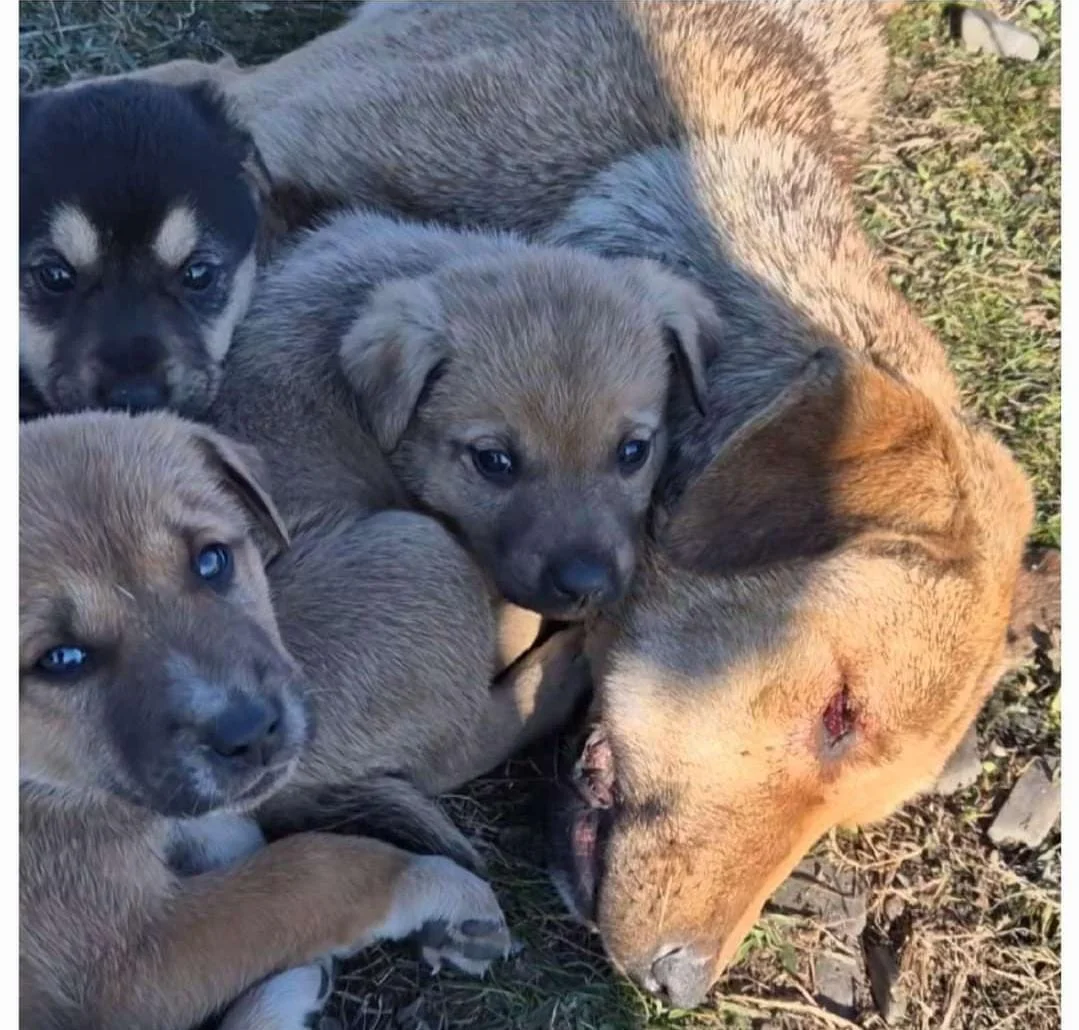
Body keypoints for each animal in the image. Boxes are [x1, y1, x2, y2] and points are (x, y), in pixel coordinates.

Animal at [22, 412, 513, 1030]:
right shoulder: (125, 962)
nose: (252, 735)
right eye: (60, 659)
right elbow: (309, 866)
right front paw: (435, 886)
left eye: (212, 560)